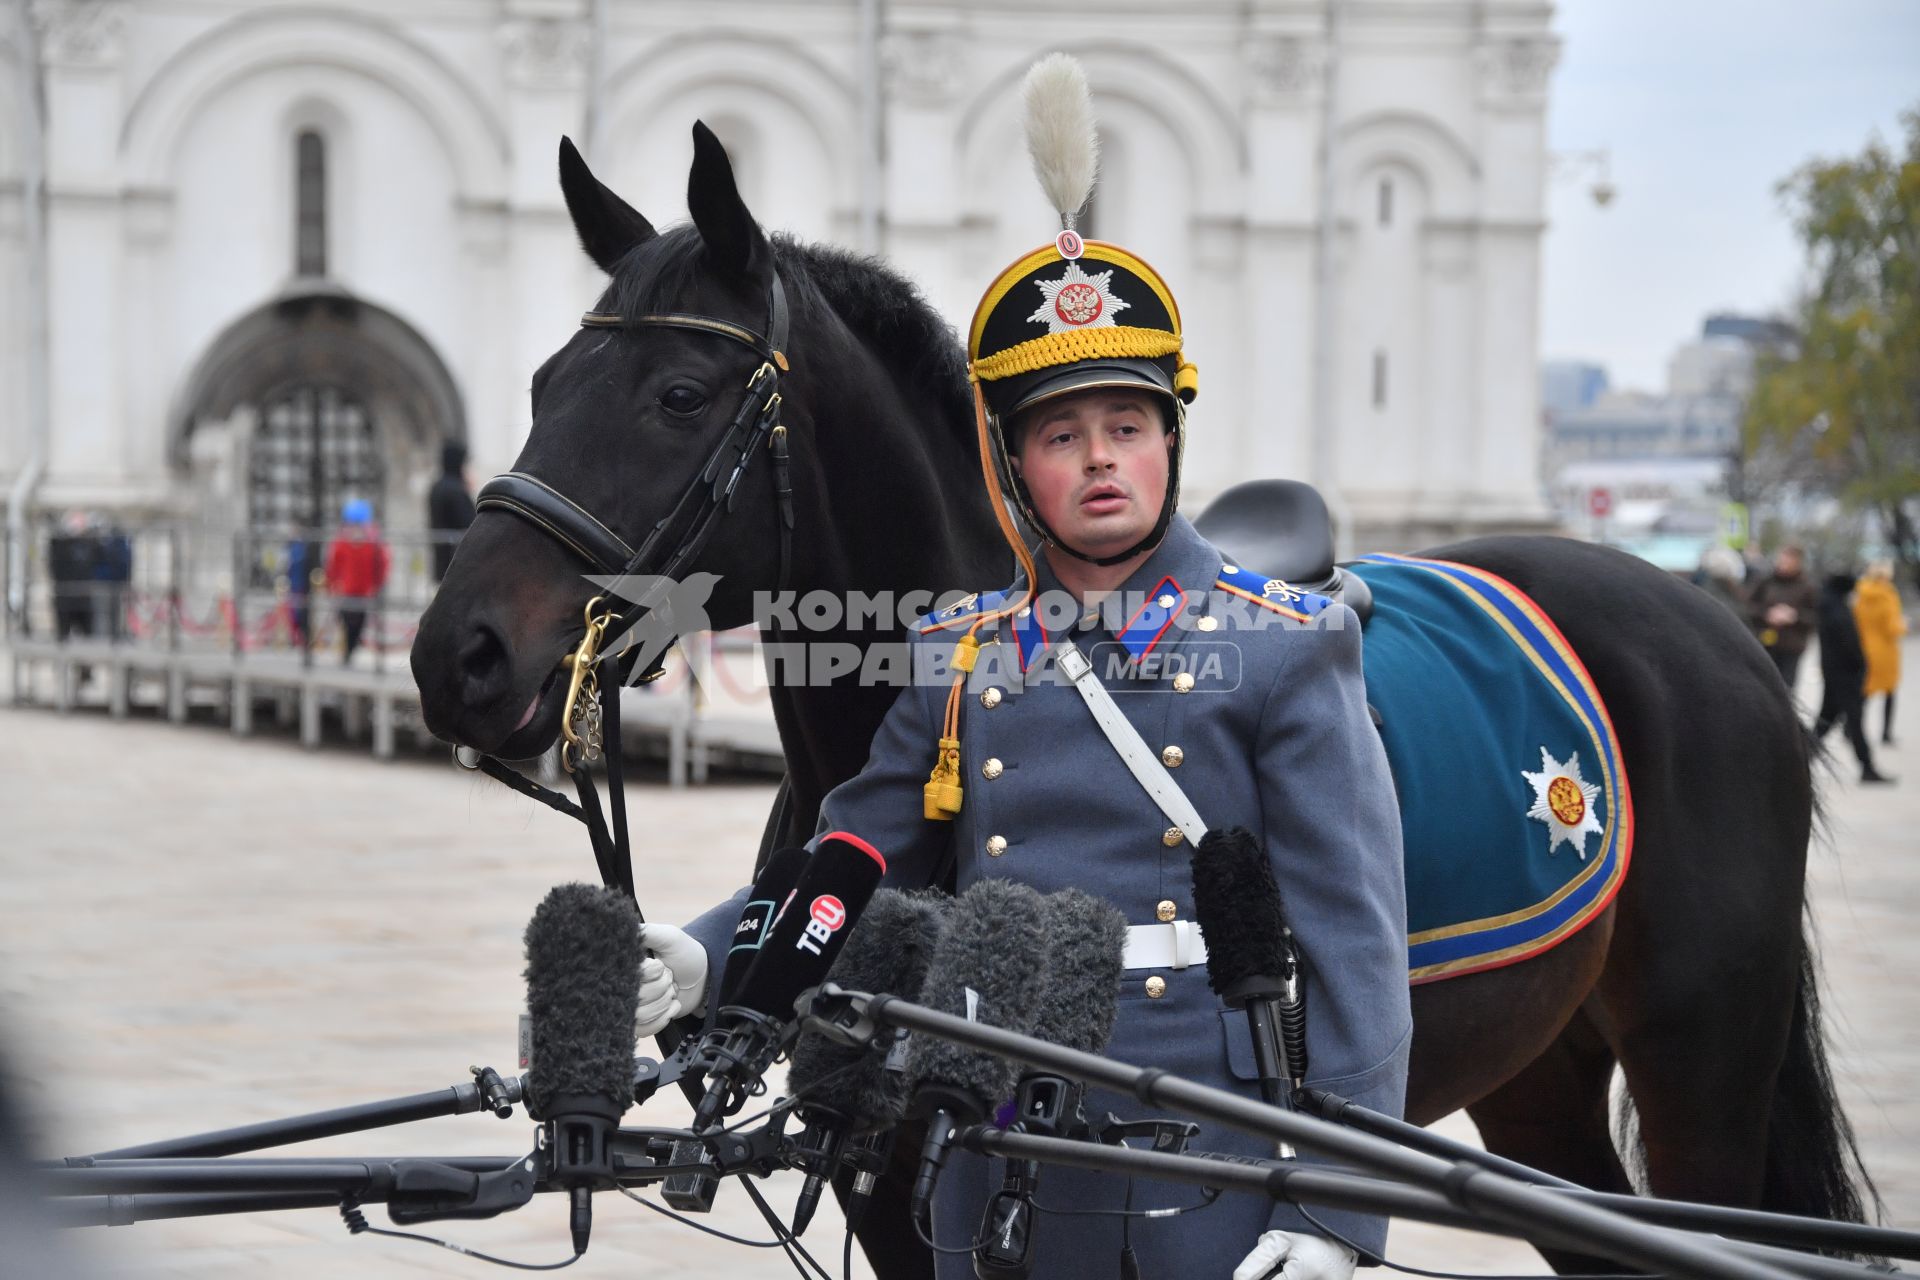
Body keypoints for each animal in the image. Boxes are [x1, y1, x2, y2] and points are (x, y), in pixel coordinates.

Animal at [408, 127, 1873, 1274]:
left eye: (679, 391)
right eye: (542, 384)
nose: (455, 653)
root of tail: (1711, 617)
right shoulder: (901, 1195)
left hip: (1700, 1068)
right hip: (1539, 1079)